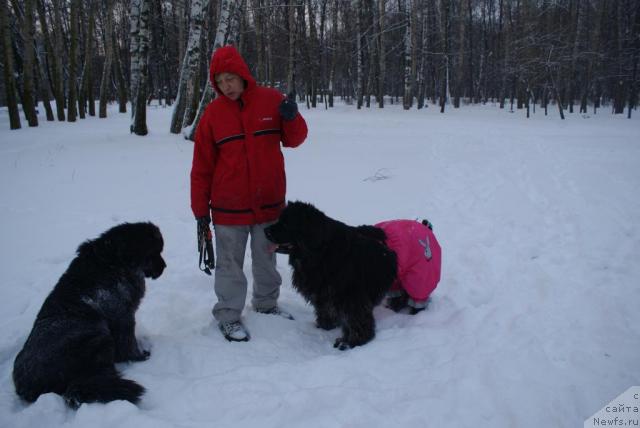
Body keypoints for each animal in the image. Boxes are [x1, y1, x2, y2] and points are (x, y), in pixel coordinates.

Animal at [14, 222, 168, 406]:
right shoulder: (123, 316)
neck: (116, 260)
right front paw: (140, 357)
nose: (164, 267)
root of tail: (27, 388)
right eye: (154, 252)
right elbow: (128, 343)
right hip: (99, 336)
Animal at [264, 202, 396, 350]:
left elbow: (355, 320)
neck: (321, 252)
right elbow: (325, 310)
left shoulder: (352, 296)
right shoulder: (323, 292)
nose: (265, 230)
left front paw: (350, 342)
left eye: (286, 224)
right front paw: (325, 326)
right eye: (280, 220)